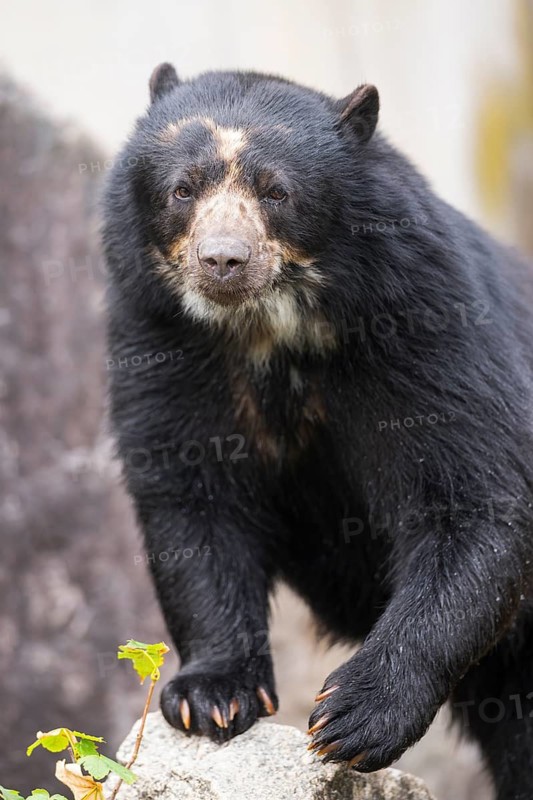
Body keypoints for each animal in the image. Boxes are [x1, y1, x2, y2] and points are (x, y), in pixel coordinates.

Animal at [103, 63, 533, 800]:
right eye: (183, 188)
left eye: (277, 191)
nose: (223, 262)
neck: (269, 327)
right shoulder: (164, 343)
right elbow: (194, 501)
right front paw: (211, 697)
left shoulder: (428, 326)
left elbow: (472, 500)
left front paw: (352, 717)